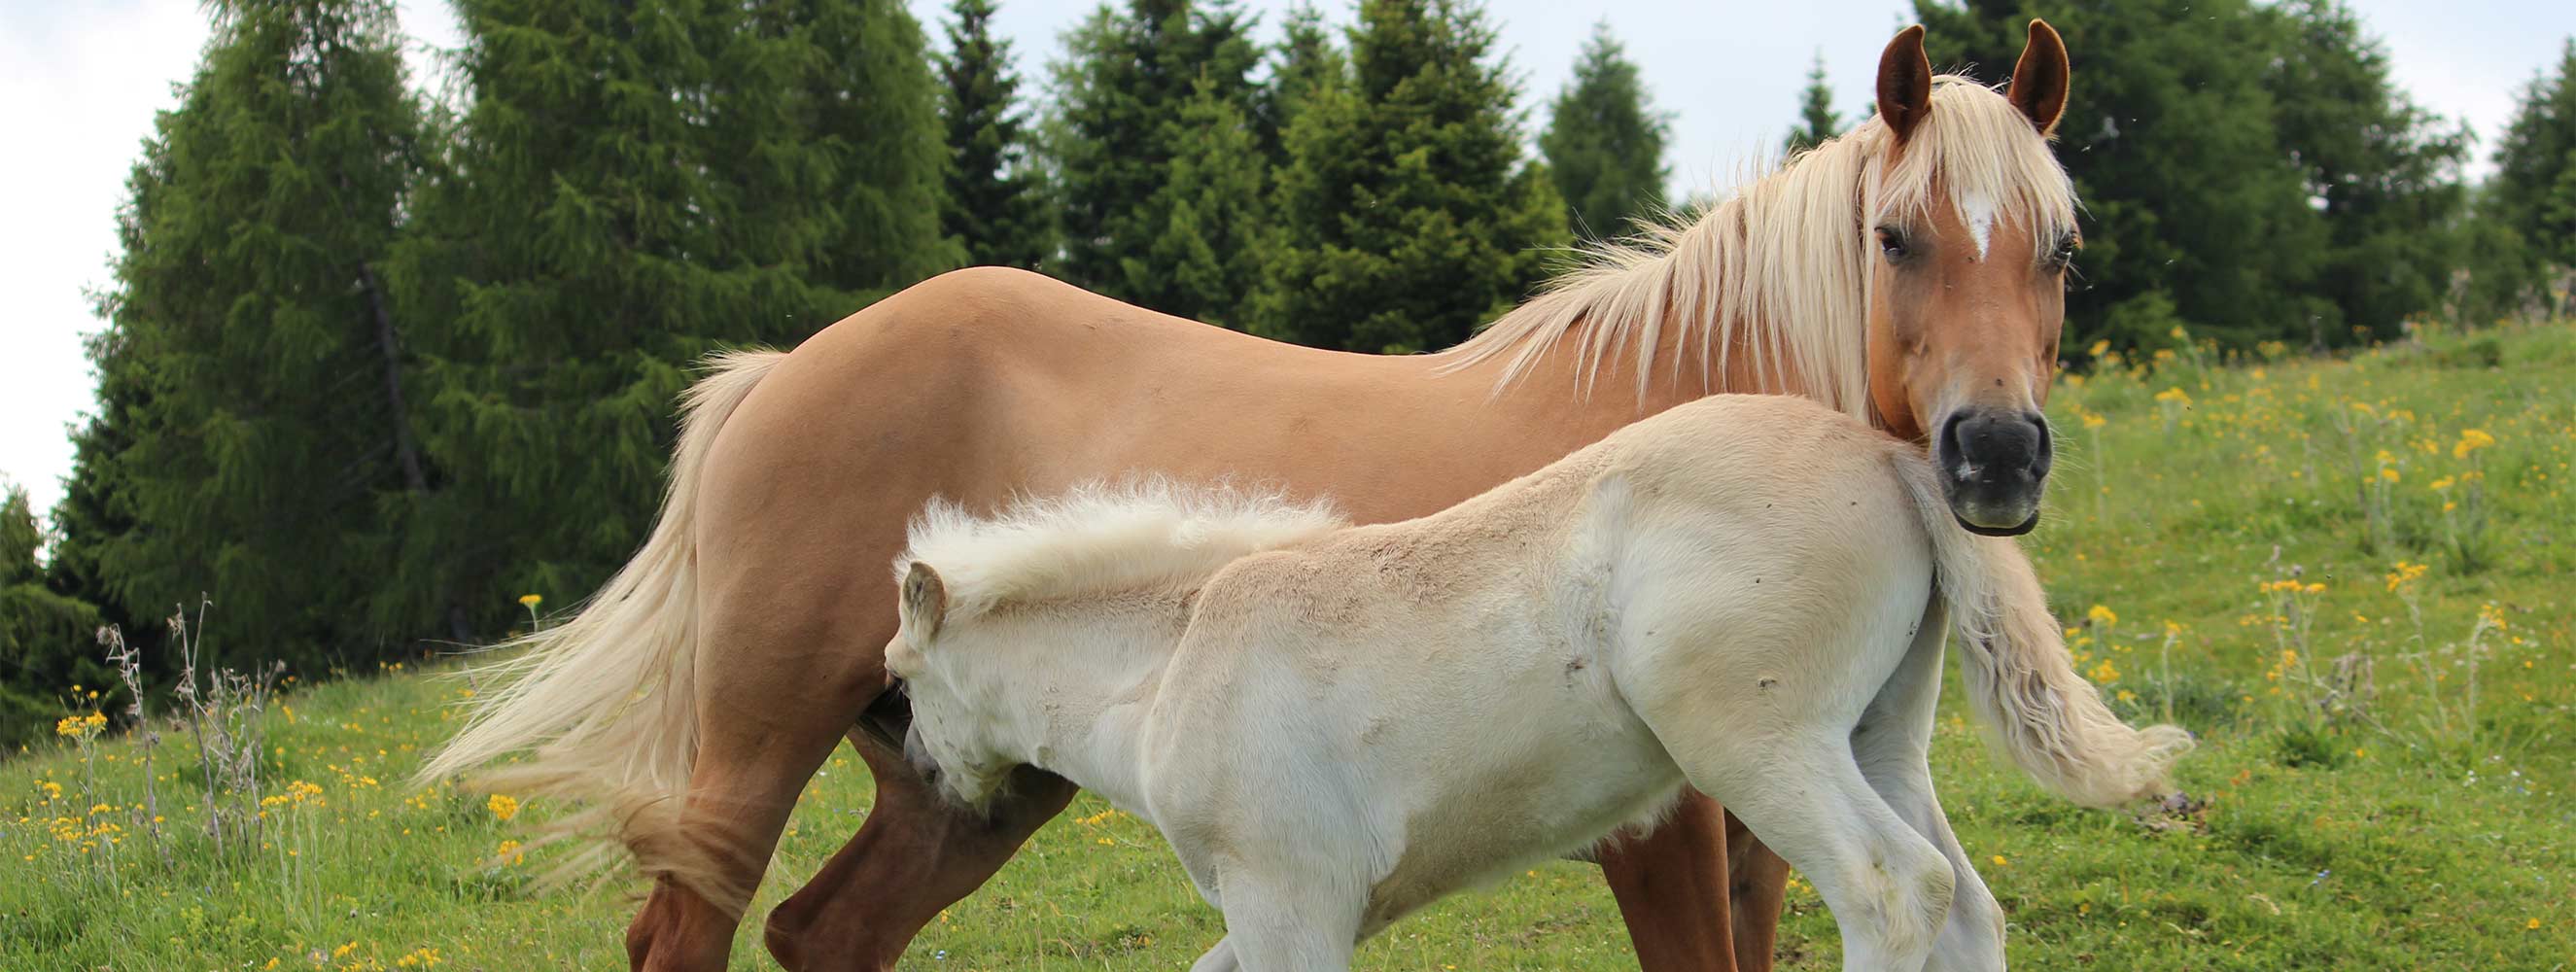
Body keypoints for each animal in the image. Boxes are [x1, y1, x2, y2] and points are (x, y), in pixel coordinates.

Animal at [886, 394, 2194, 969]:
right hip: (1877, 739)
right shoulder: (1303, 911)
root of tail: (1886, 454)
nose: (924, 777)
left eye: (901, 682)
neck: (1173, 661)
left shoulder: (1287, 898)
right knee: (1962, 904)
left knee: (1890, 891)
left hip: (1759, 746)